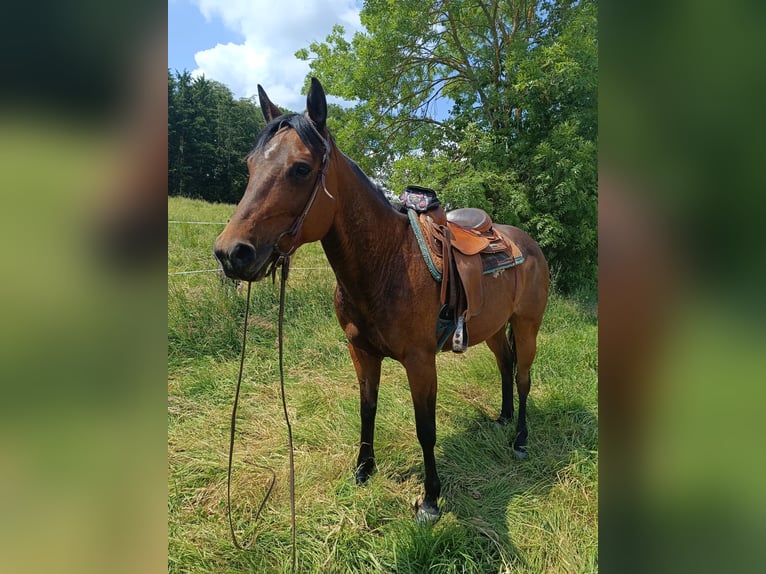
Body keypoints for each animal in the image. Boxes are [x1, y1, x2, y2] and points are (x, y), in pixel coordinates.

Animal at [214, 79, 552, 524]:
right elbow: (367, 407)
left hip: (528, 325)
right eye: (250, 165)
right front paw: (363, 470)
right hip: (493, 327)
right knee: (505, 364)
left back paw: (521, 439)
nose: (231, 253)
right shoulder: (361, 352)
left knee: (523, 376)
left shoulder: (421, 362)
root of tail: (526, 242)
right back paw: (503, 417)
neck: (386, 263)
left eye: (301, 168)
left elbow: (426, 428)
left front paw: (430, 499)